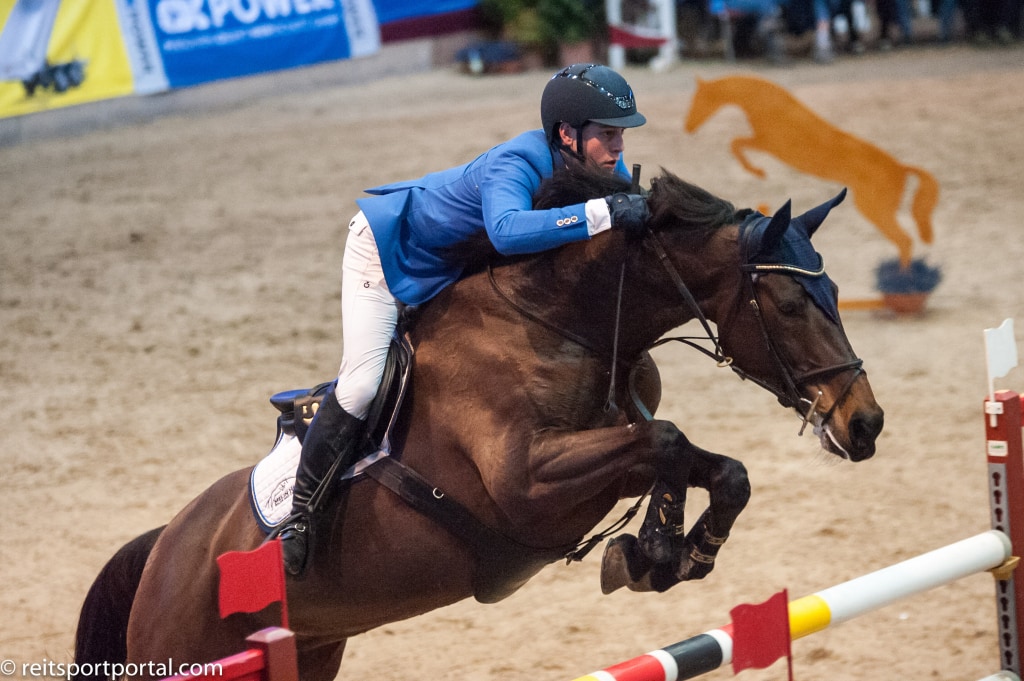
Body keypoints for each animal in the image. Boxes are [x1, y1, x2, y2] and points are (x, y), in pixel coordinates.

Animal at [73, 164, 883, 680]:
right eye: (789, 304)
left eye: (838, 290)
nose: (865, 422)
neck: (563, 323)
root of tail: (164, 547)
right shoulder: (526, 484)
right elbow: (666, 442)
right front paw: (657, 548)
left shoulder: (606, 450)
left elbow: (704, 461)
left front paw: (670, 551)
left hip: (310, 649)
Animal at [684, 74, 939, 268]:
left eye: (700, 99)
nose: (688, 128)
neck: (769, 105)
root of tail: (901, 168)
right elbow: (737, 144)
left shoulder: (768, 144)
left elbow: (736, 143)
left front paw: (758, 172)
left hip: (873, 208)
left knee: (903, 240)